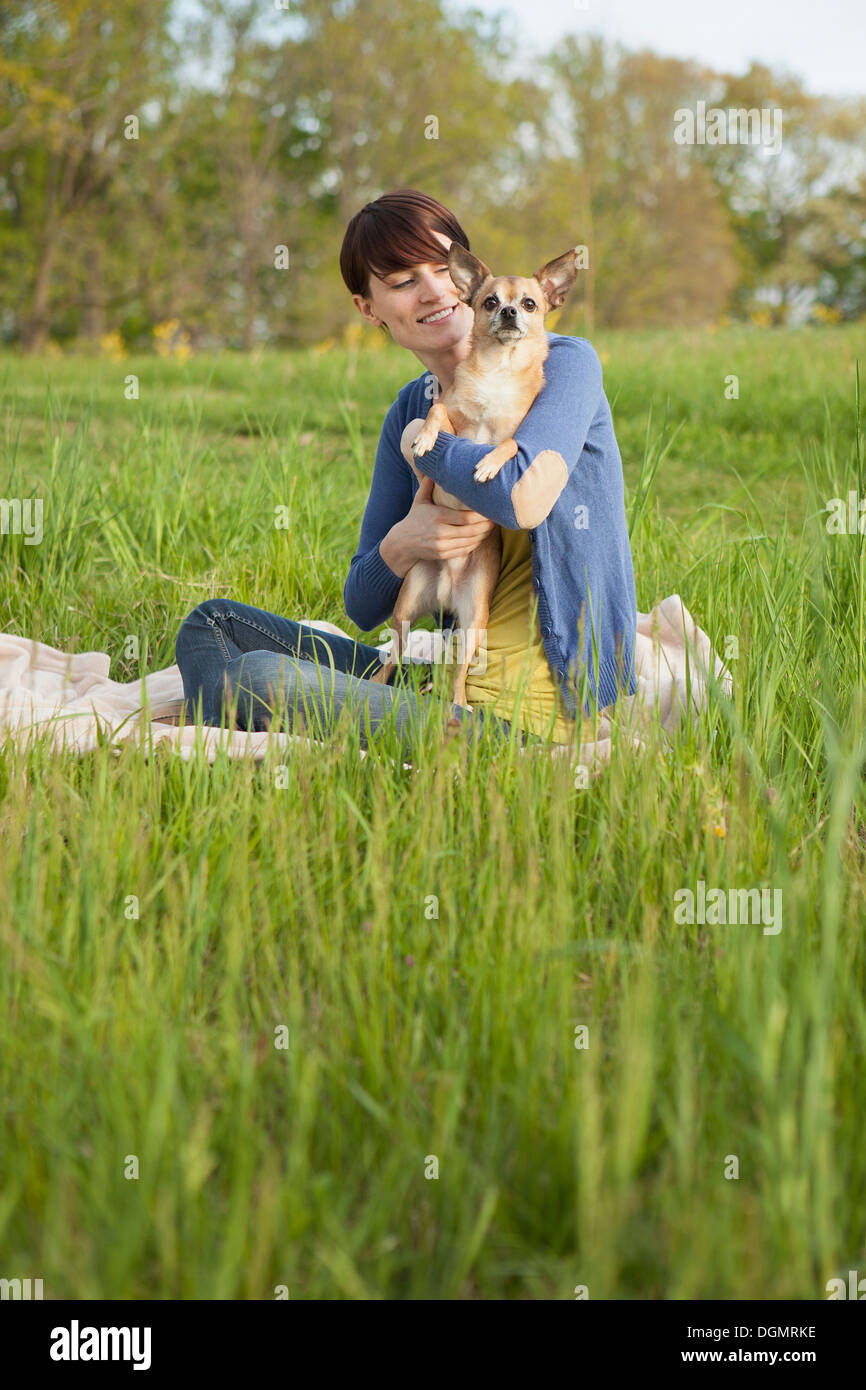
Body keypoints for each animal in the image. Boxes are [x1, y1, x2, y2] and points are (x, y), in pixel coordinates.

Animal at [372, 239, 583, 711]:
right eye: (490, 302)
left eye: (530, 303)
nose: (509, 312)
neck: (499, 370)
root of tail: (447, 589)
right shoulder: (452, 412)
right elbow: (436, 412)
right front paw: (423, 441)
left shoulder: (520, 436)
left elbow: (507, 446)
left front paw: (486, 465)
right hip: (405, 609)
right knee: (392, 658)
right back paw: (378, 682)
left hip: (473, 625)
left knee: (459, 673)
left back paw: (457, 704)